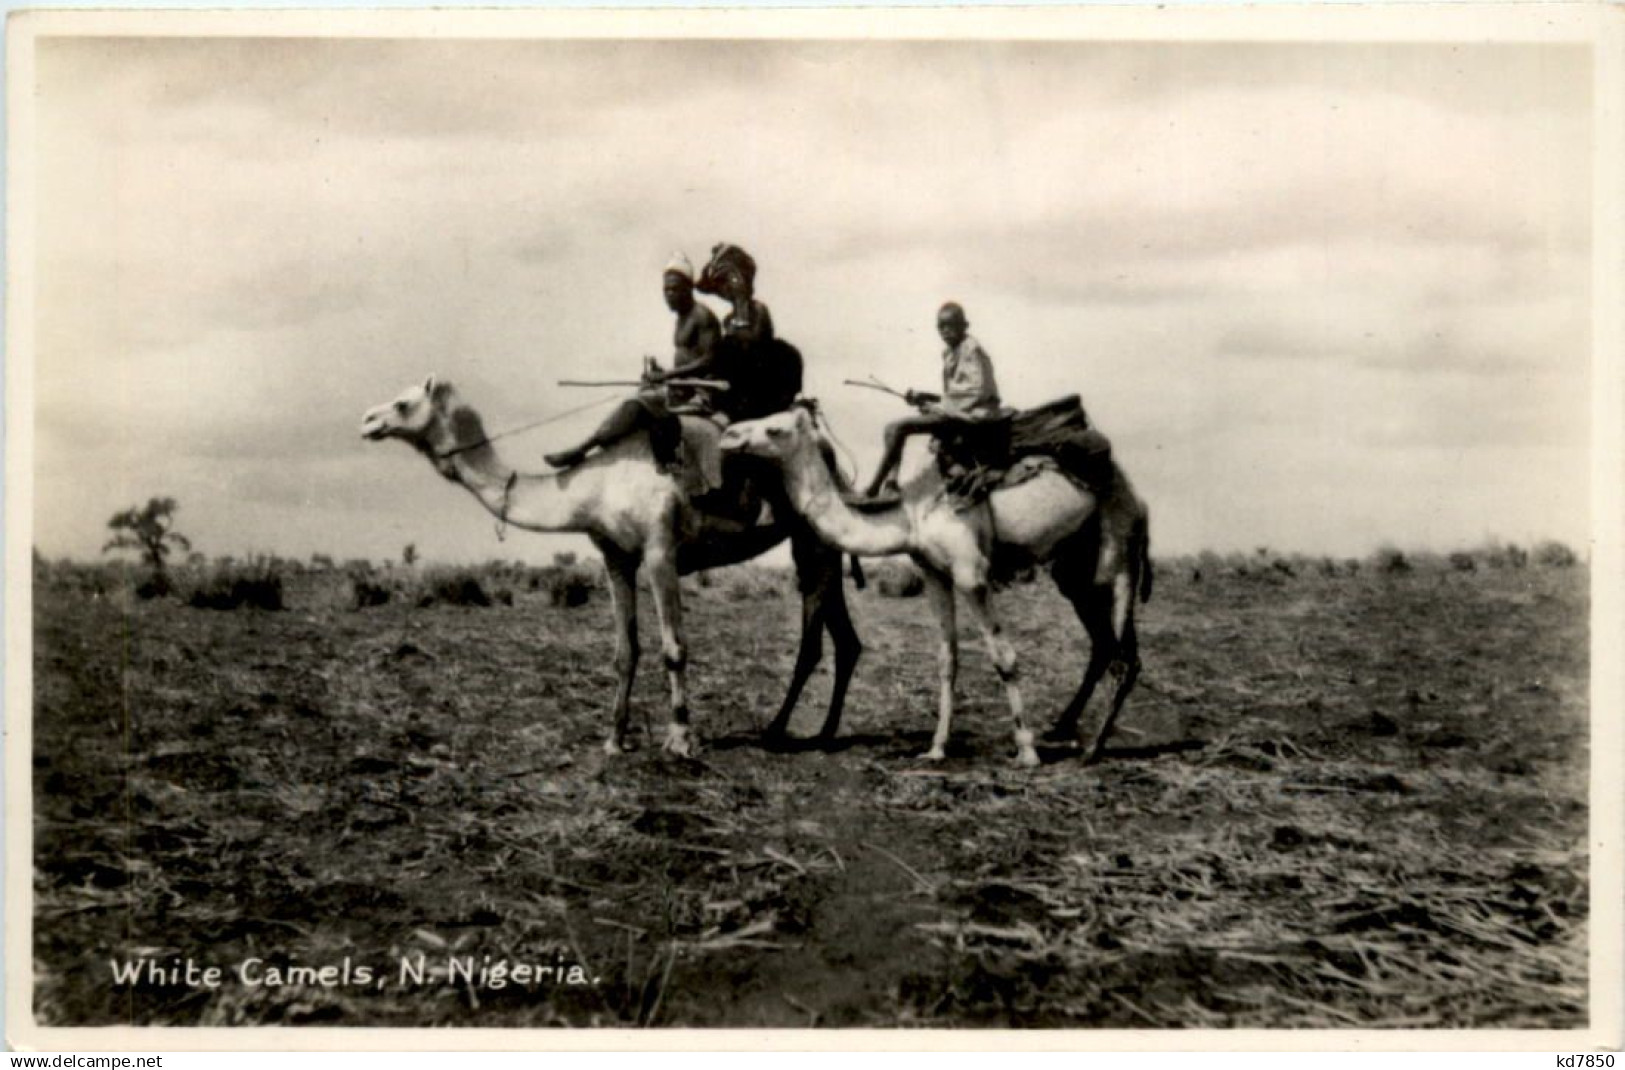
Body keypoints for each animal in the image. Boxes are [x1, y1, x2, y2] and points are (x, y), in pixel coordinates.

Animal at [357, 378, 864, 754]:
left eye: (403, 402)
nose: (366, 420)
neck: (594, 486)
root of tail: (833, 460)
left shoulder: (661, 550)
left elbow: (674, 647)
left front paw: (681, 739)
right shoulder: (615, 558)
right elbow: (626, 651)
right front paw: (614, 740)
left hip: (813, 540)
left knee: (812, 642)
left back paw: (777, 731)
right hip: (820, 545)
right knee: (846, 640)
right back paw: (824, 733)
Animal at [718, 401, 1150, 767]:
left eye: (774, 428)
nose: (729, 434)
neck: (912, 514)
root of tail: (1136, 496)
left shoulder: (971, 573)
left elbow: (1004, 658)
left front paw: (1026, 753)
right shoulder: (934, 574)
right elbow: (947, 660)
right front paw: (936, 749)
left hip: (1117, 549)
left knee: (1123, 654)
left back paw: (1092, 749)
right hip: (1073, 568)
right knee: (1104, 645)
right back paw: (1064, 730)